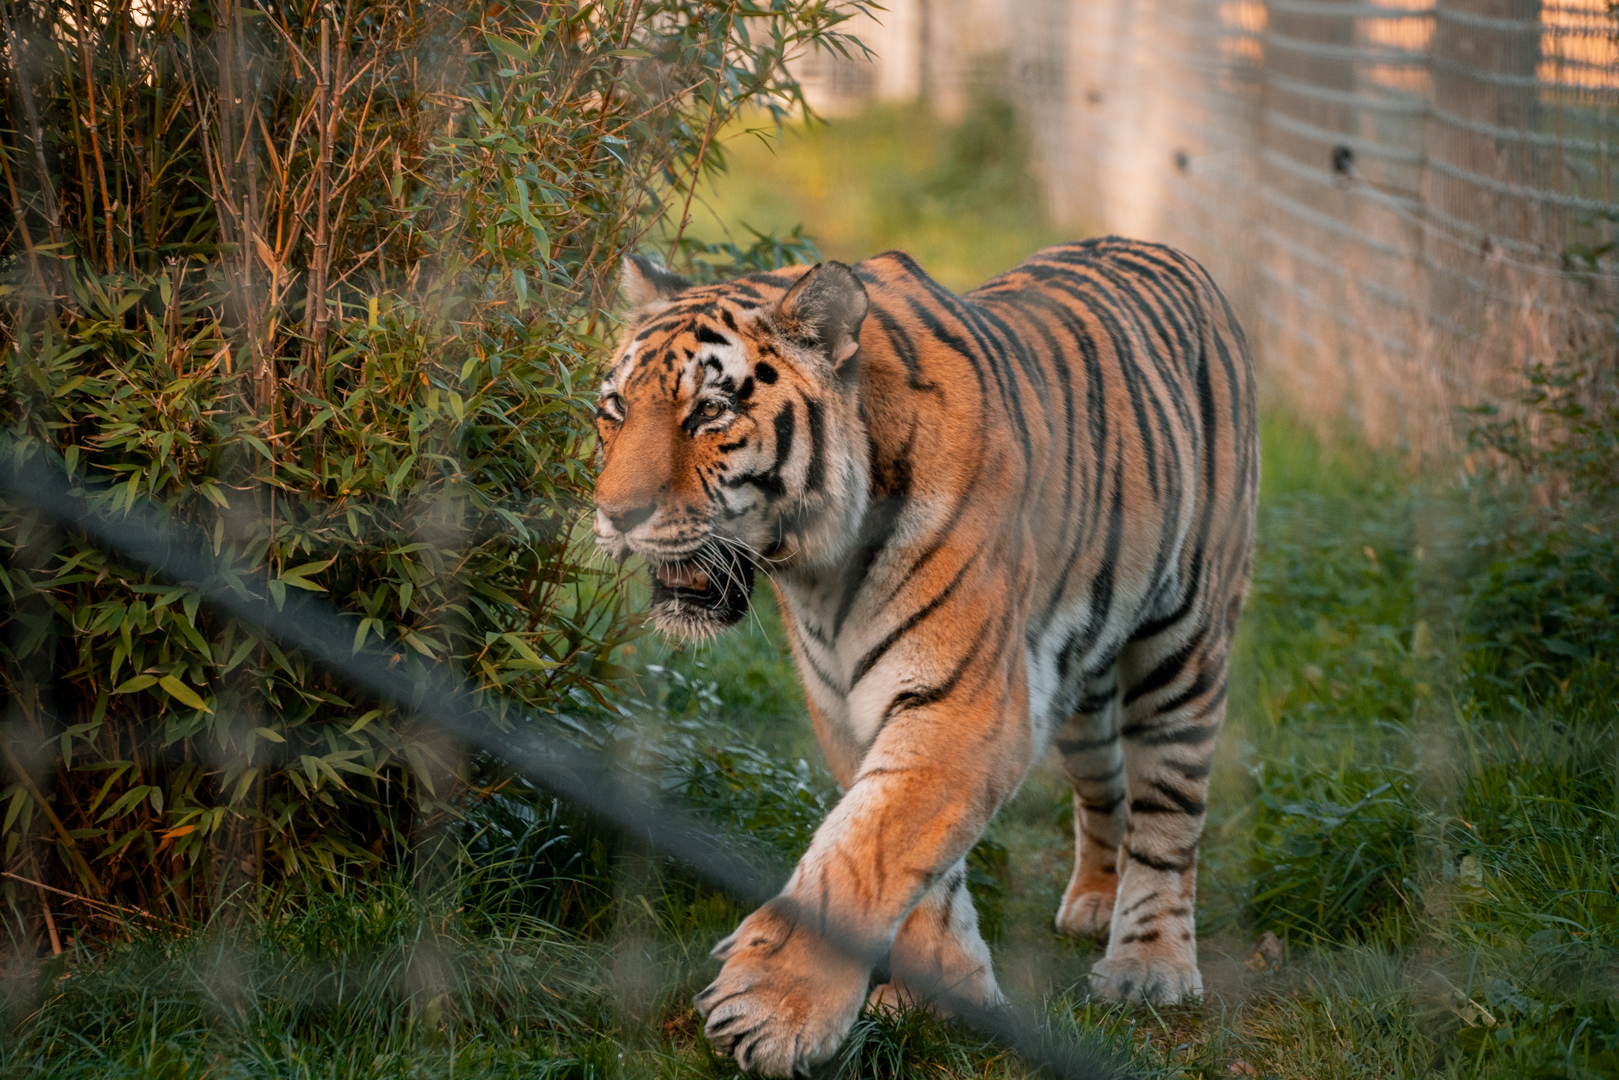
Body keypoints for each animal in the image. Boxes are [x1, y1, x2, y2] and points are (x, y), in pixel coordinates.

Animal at [592, 237, 1258, 1077]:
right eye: (614, 409)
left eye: (710, 410)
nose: (613, 515)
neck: (819, 567)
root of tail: (1166, 249)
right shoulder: (851, 709)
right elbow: (914, 863)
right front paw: (944, 996)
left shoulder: (963, 709)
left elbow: (861, 856)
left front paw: (768, 1012)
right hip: (1079, 677)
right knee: (1105, 787)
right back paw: (1094, 902)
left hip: (1183, 648)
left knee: (1168, 816)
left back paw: (1148, 967)